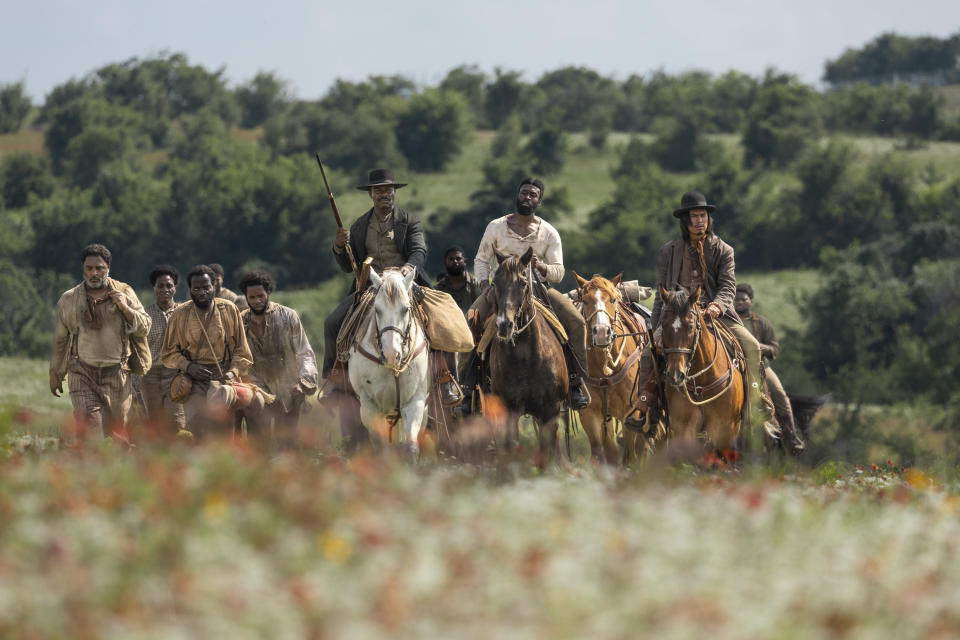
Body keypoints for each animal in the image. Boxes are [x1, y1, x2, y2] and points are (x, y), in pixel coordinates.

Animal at [346, 268, 430, 458]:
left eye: (406, 309)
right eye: (377, 309)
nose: (392, 355)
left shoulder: (415, 400)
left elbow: (411, 446)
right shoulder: (369, 405)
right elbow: (381, 448)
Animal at [492, 246, 568, 464]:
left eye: (523, 282)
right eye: (495, 282)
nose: (504, 325)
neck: (525, 357)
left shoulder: (550, 411)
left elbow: (546, 450)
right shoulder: (509, 409)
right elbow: (512, 448)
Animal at [572, 272, 656, 464]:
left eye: (612, 300)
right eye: (585, 301)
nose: (602, 333)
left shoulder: (630, 412)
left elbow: (630, 456)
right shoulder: (591, 414)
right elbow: (605, 455)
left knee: (641, 447)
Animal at [656, 286, 748, 460]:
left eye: (690, 326)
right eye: (663, 326)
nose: (675, 375)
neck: (702, 382)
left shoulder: (727, 430)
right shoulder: (682, 428)